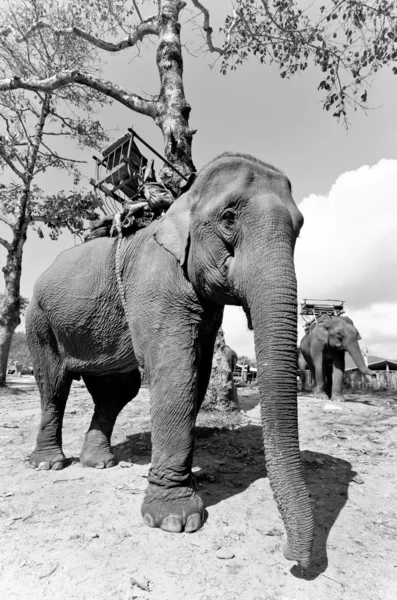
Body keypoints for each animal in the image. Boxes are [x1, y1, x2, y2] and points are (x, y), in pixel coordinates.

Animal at [26, 150, 314, 568]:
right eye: (229, 217)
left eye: (299, 230)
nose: (291, 555)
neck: (183, 202)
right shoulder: (155, 282)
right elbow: (176, 368)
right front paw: (175, 521)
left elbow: (199, 369)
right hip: (40, 318)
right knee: (54, 385)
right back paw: (49, 464)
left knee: (117, 391)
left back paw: (99, 463)